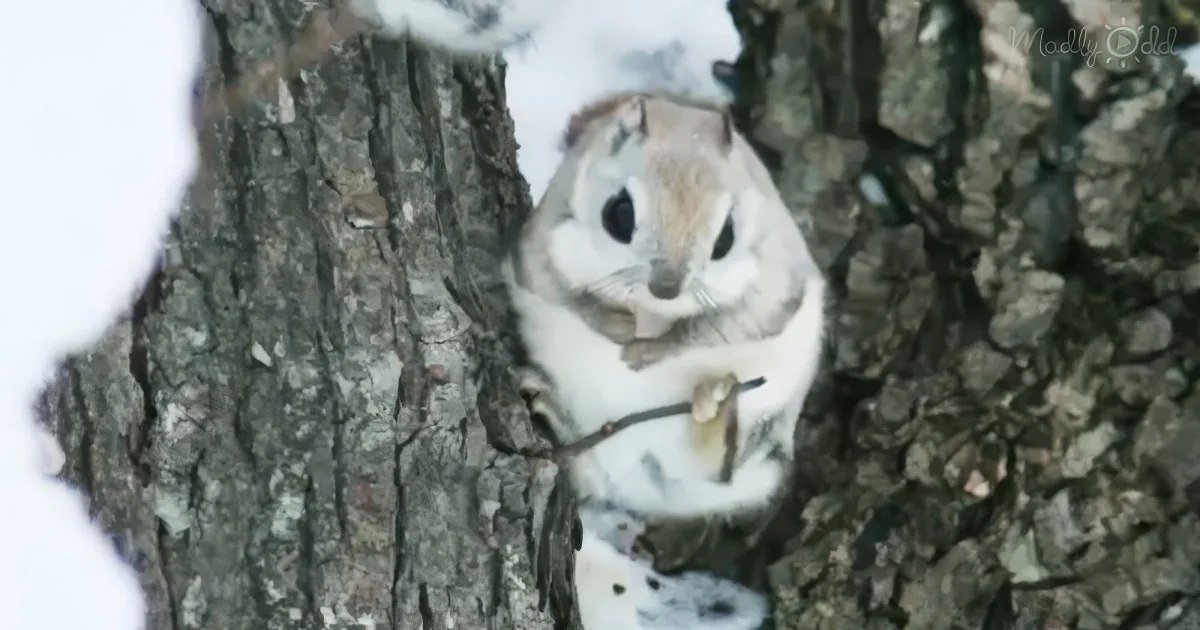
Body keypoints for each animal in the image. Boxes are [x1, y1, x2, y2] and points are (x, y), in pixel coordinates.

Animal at [504, 92, 827, 521]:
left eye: (726, 236)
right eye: (619, 213)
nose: (667, 288)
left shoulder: (773, 287)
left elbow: (720, 327)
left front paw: (648, 350)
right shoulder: (541, 246)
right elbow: (564, 293)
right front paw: (614, 324)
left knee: (723, 468)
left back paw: (719, 401)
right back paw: (547, 403)